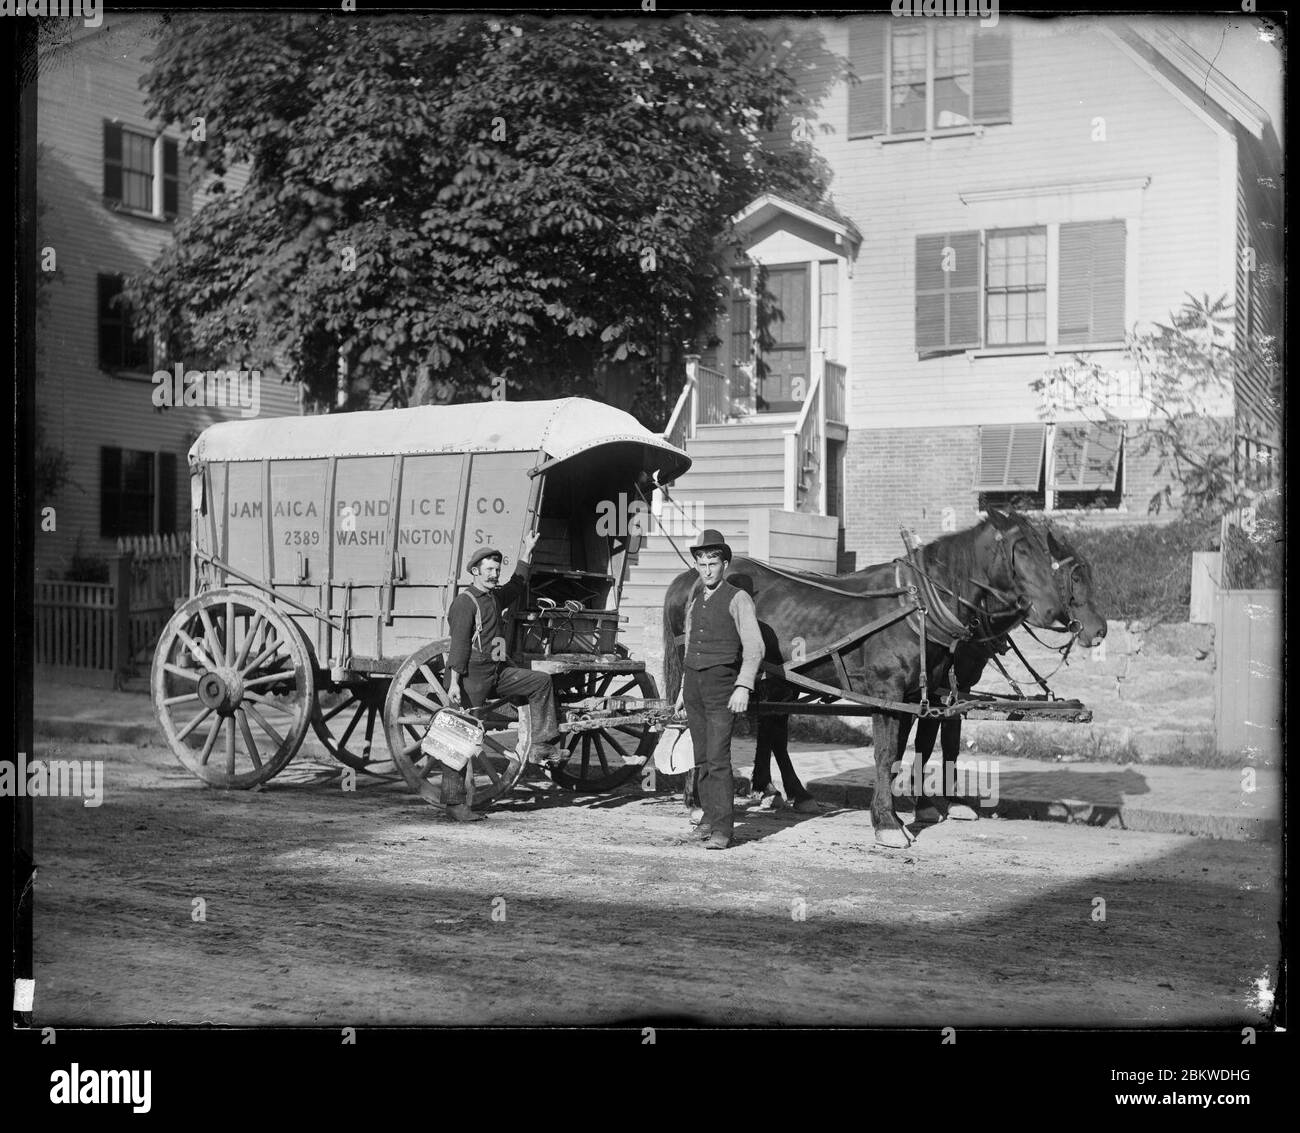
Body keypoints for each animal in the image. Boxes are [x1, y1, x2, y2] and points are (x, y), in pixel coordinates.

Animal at [665, 509, 1071, 847]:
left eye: (1045, 551)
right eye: (1021, 551)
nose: (1057, 611)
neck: (920, 606)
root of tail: (689, 578)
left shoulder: (913, 696)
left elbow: (903, 753)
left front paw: (897, 813)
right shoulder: (887, 692)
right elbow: (886, 752)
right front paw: (889, 823)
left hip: (775, 681)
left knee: (767, 727)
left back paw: (787, 794)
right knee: (694, 725)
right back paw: (697, 803)